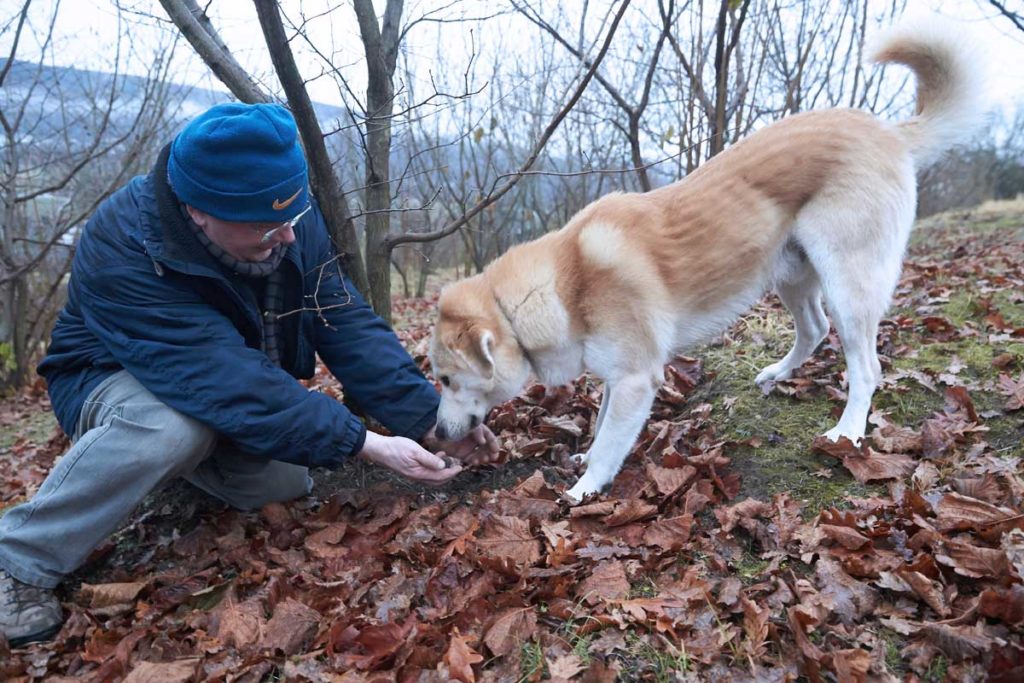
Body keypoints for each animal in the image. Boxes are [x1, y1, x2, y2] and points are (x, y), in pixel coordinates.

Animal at [428, 21, 987, 501]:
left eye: (447, 380)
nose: (436, 432)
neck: (565, 283)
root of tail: (888, 131)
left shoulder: (635, 380)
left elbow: (609, 443)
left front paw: (585, 488)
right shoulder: (616, 377)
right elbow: (601, 424)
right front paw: (583, 460)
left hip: (847, 284)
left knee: (866, 368)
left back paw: (847, 432)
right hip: (791, 275)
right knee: (814, 329)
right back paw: (777, 375)